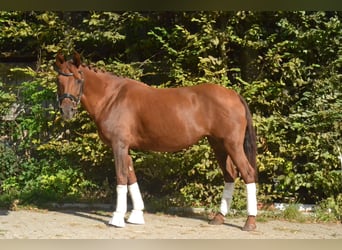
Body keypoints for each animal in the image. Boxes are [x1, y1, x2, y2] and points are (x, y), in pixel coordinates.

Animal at [56, 52, 258, 230]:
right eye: (59, 81)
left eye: (78, 79)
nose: (66, 111)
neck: (112, 98)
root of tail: (234, 95)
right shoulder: (125, 147)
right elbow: (131, 177)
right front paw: (136, 215)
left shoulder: (119, 145)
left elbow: (121, 177)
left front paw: (117, 218)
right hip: (218, 145)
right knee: (230, 175)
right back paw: (219, 217)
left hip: (232, 145)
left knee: (248, 173)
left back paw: (250, 222)